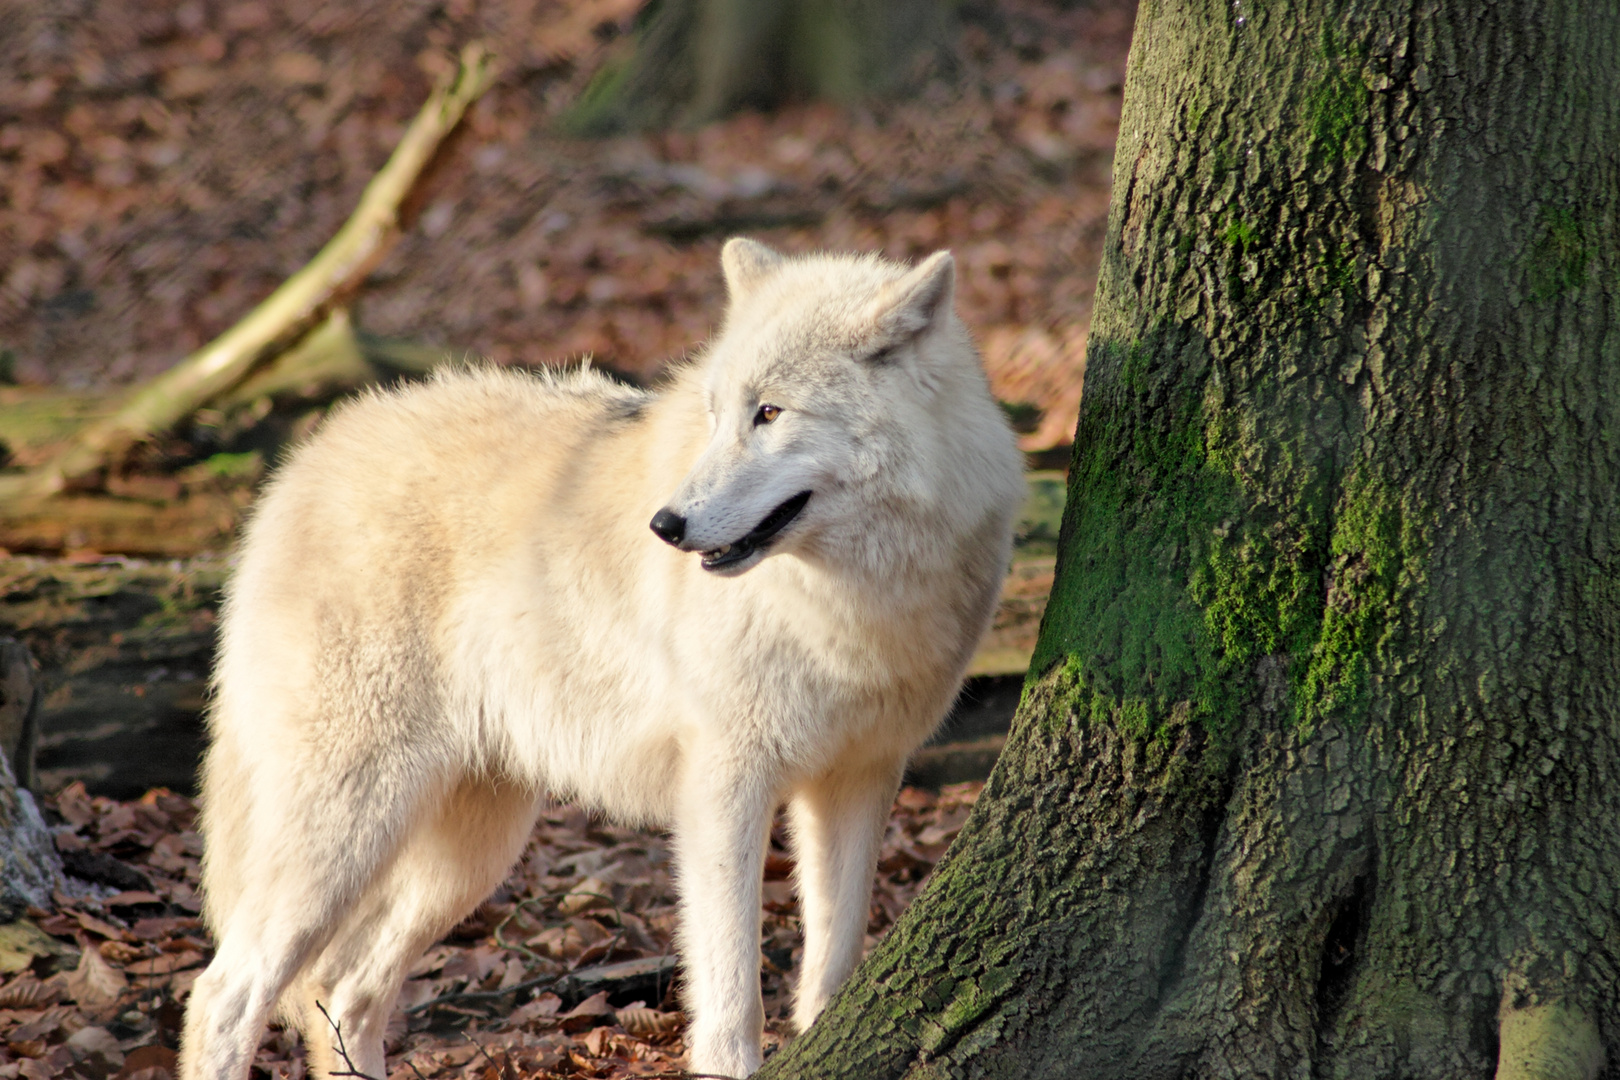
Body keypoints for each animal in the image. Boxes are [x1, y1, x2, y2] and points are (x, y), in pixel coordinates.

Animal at [177, 241, 1023, 1075]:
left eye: (770, 412)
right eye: (716, 414)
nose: (666, 525)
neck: (844, 605)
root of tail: (294, 474)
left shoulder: (858, 780)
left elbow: (833, 969)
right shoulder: (724, 786)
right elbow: (731, 997)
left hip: (469, 853)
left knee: (345, 990)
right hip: (351, 824)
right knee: (226, 993)